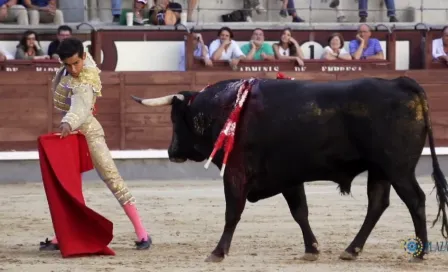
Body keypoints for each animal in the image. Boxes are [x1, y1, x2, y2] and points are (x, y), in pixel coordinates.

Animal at [130, 76, 448, 262]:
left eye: (174, 118)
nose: (171, 152)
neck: (225, 106)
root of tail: (400, 82)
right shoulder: (288, 177)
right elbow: (300, 212)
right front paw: (312, 249)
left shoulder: (236, 173)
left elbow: (232, 212)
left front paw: (218, 252)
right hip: (380, 170)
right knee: (378, 204)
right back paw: (351, 250)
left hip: (398, 168)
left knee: (415, 200)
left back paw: (419, 253)